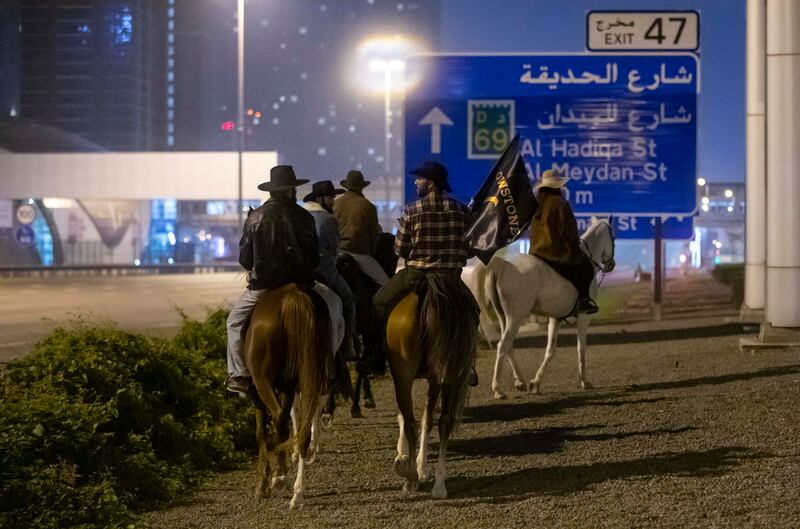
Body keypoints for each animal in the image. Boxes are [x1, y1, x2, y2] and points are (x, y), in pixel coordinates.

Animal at [244, 282, 332, 510]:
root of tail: (292, 297)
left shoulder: (258, 390)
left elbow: (261, 431)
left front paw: (264, 484)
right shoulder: (288, 387)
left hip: (263, 382)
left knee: (279, 419)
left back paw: (280, 479)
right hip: (309, 374)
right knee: (302, 431)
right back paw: (297, 492)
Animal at [388, 270, 482, 498]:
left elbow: (418, 418)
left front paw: (412, 462)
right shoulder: (434, 379)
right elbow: (428, 419)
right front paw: (420, 466)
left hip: (407, 376)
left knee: (413, 422)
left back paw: (412, 477)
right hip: (446, 376)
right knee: (443, 422)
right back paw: (437, 484)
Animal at [472, 217, 616, 398]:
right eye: (614, 237)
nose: (611, 265)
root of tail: (503, 264)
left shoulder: (556, 318)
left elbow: (550, 351)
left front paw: (536, 383)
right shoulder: (584, 316)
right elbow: (580, 348)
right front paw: (585, 381)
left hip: (504, 316)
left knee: (508, 346)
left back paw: (520, 381)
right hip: (516, 317)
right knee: (503, 345)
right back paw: (498, 389)